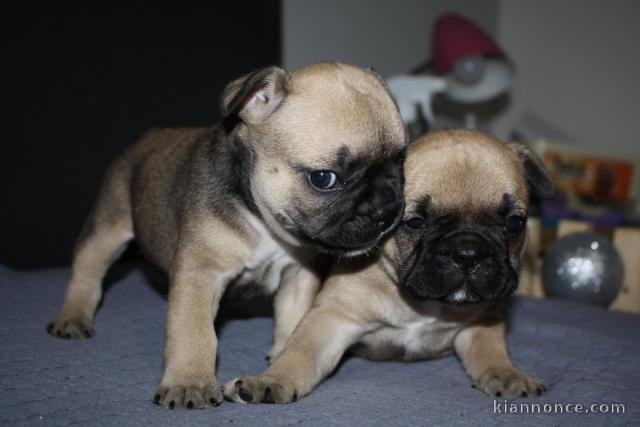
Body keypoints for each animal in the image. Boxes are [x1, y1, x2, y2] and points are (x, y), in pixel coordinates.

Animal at [46, 61, 404, 410]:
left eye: (400, 161)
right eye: (324, 178)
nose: (385, 209)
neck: (261, 217)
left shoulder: (297, 275)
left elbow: (293, 321)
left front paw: (280, 364)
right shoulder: (201, 273)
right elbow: (194, 332)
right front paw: (189, 383)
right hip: (108, 225)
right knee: (87, 272)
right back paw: (73, 317)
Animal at [225, 130, 556, 404]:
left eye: (514, 223)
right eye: (415, 222)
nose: (468, 252)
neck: (421, 302)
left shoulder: (483, 318)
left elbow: (492, 350)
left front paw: (509, 374)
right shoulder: (332, 318)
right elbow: (300, 354)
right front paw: (270, 381)